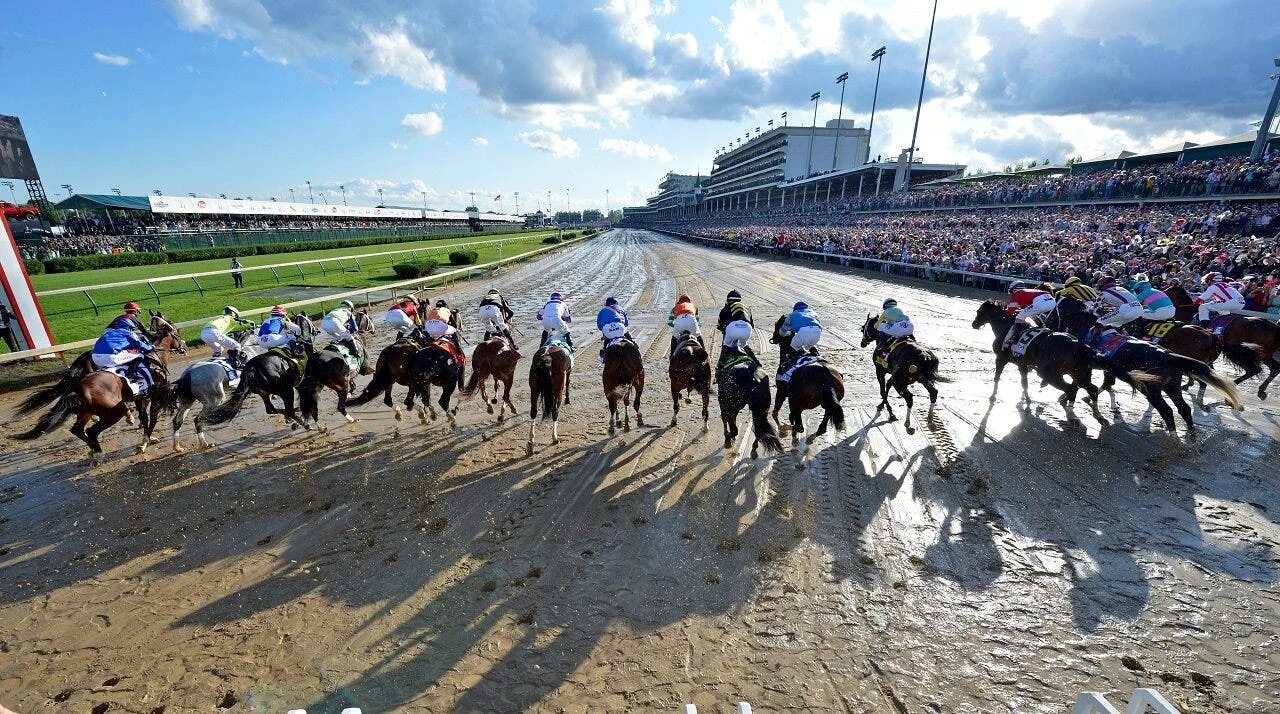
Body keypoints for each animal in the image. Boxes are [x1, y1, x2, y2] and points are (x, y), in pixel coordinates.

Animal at [16, 353, 170, 465]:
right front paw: (145, 441)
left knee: (77, 430)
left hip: (85, 412)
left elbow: (144, 417)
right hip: (113, 412)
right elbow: (147, 418)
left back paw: (93, 450)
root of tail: (77, 390)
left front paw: (146, 438)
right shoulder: (148, 397)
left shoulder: (140, 398)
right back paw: (98, 453)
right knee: (91, 431)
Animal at [762, 317, 844, 460]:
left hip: (798, 403)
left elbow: (775, 412)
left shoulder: (781, 392)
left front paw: (783, 430)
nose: (773, 338)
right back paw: (809, 437)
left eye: (776, 324)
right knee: (821, 428)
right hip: (829, 404)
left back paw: (791, 434)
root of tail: (825, 377)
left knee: (799, 426)